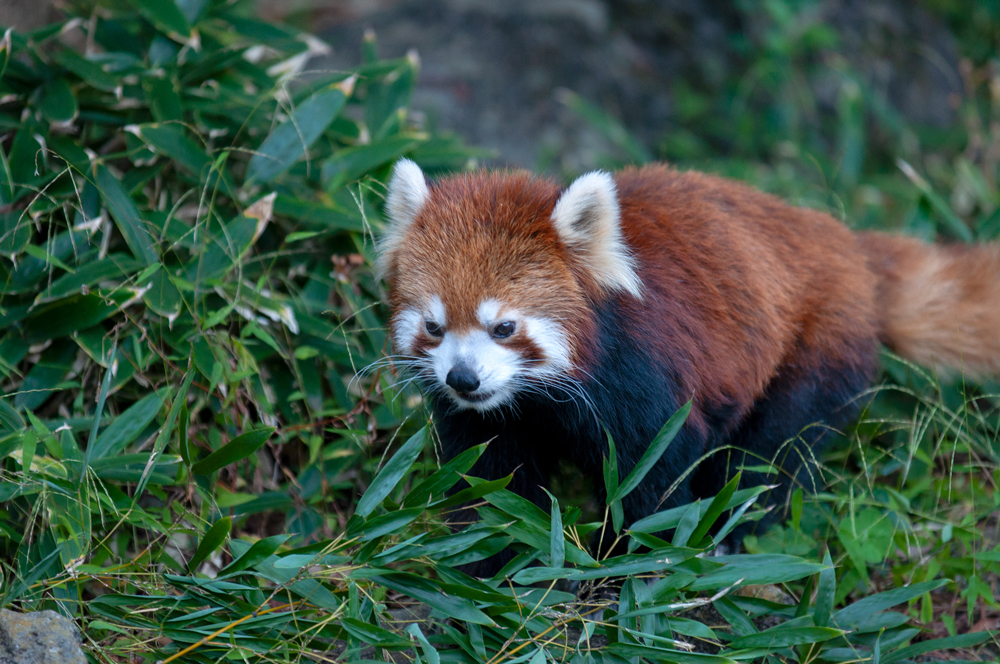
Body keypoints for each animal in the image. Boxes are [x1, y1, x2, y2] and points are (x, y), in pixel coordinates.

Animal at [374, 158, 1000, 572]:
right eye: (434, 326)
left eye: (504, 327)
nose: (463, 379)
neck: (535, 395)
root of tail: (843, 244)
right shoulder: (488, 418)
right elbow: (489, 476)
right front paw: (492, 558)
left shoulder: (636, 377)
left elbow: (655, 468)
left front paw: (629, 560)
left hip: (814, 344)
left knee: (772, 452)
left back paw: (735, 530)